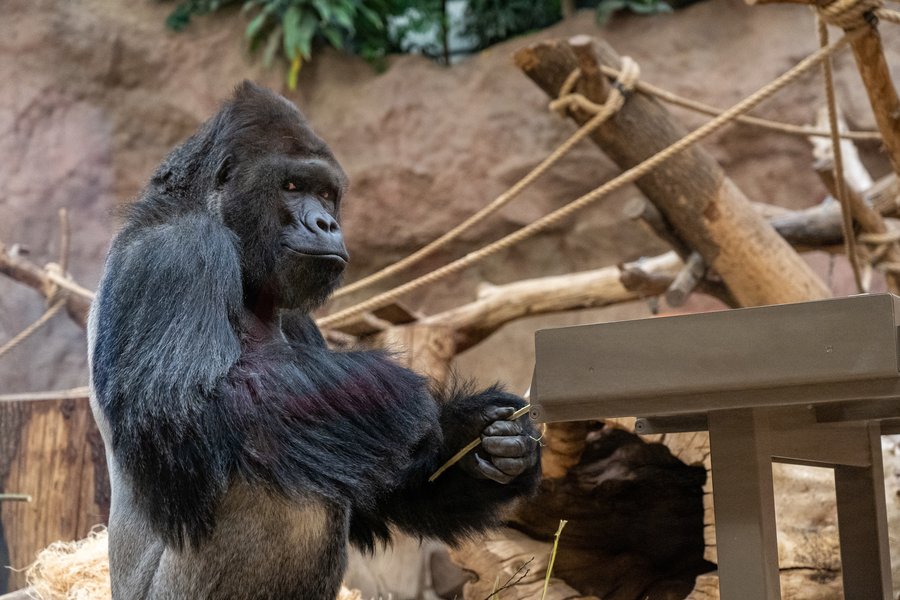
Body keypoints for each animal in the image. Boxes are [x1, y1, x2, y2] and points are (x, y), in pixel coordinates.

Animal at [89, 81, 540, 600]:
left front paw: (486, 440)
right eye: (291, 186)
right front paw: (384, 389)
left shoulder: (299, 317)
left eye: (326, 194)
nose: (326, 224)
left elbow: (375, 485)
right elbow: (186, 408)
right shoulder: (176, 249)